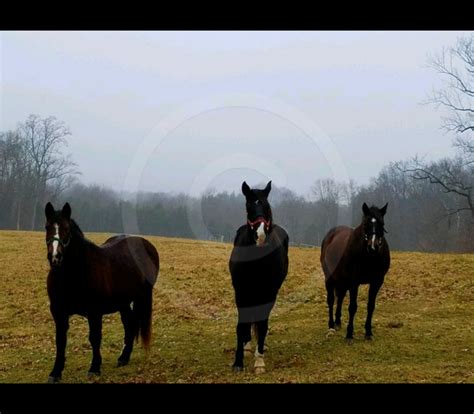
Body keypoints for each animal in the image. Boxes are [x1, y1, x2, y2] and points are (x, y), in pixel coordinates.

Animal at [42, 201, 158, 382]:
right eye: (47, 227)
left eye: (66, 228)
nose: (55, 257)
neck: (73, 274)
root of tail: (147, 245)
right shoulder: (59, 312)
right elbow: (60, 341)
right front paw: (55, 372)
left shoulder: (94, 312)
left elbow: (94, 338)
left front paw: (95, 367)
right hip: (123, 302)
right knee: (129, 324)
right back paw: (124, 358)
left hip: (142, 296)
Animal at [228, 181, 286, 372]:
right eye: (248, 206)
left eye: (267, 206)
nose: (260, 235)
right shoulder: (241, 292)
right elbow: (241, 325)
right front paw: (238, 362)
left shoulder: (268, 293)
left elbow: (263, 323)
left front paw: (259, 361)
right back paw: (246, 345)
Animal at [318, 202, 388, 342]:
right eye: (365, 224)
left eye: (382, 224)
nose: (373, 247)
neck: (369, 257)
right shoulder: (354, 282)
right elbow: (352, 307)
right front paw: (349, 334)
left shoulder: (376, 282)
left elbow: (371, 306)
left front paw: (368, 332)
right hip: (330, 278)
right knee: (331, 300)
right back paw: (331, 326)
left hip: (342, 281)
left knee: (340, 297)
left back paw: (338, 322)